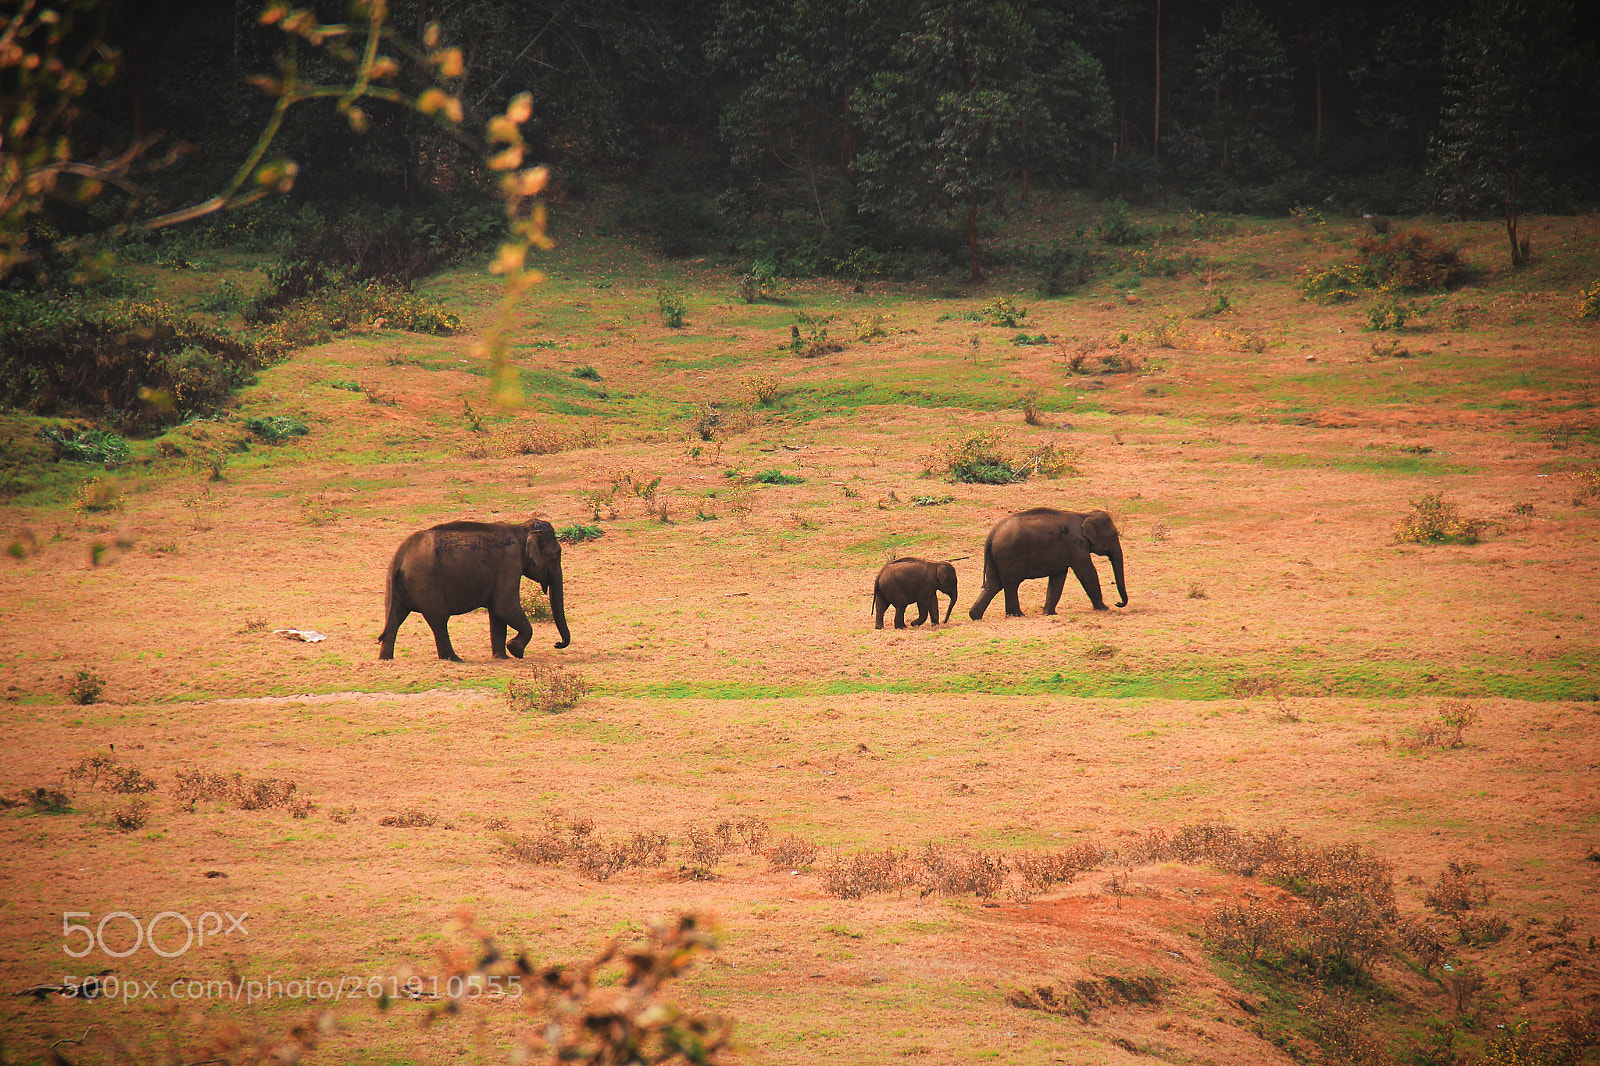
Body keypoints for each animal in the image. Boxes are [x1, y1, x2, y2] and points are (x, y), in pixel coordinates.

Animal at [377, 515, 572, 656]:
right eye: (556, 553)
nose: (557, 643)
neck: (520, 529)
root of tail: (400, 556)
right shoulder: (510, 564)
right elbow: (504, 606)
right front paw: (515, 650)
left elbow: (497, 613)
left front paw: (501, 657)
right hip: (425, 582)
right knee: (438, 618)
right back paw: (454, 659)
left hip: (395, 585)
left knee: (395, 617)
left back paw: (386, 659)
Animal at [960, 508, 1126, 617]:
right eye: (1113, 535)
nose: (1118, 603)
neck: (1085, 514)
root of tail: (992, 534)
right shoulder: (1076, 545)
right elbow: (1087, 573)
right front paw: (1104, 609)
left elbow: (1058, 578)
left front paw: (1049, 614)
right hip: (1008, 555)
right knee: (1011, 584)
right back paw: (1018, 615)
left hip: (996, 558)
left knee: (993, 584)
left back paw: (975, 616)